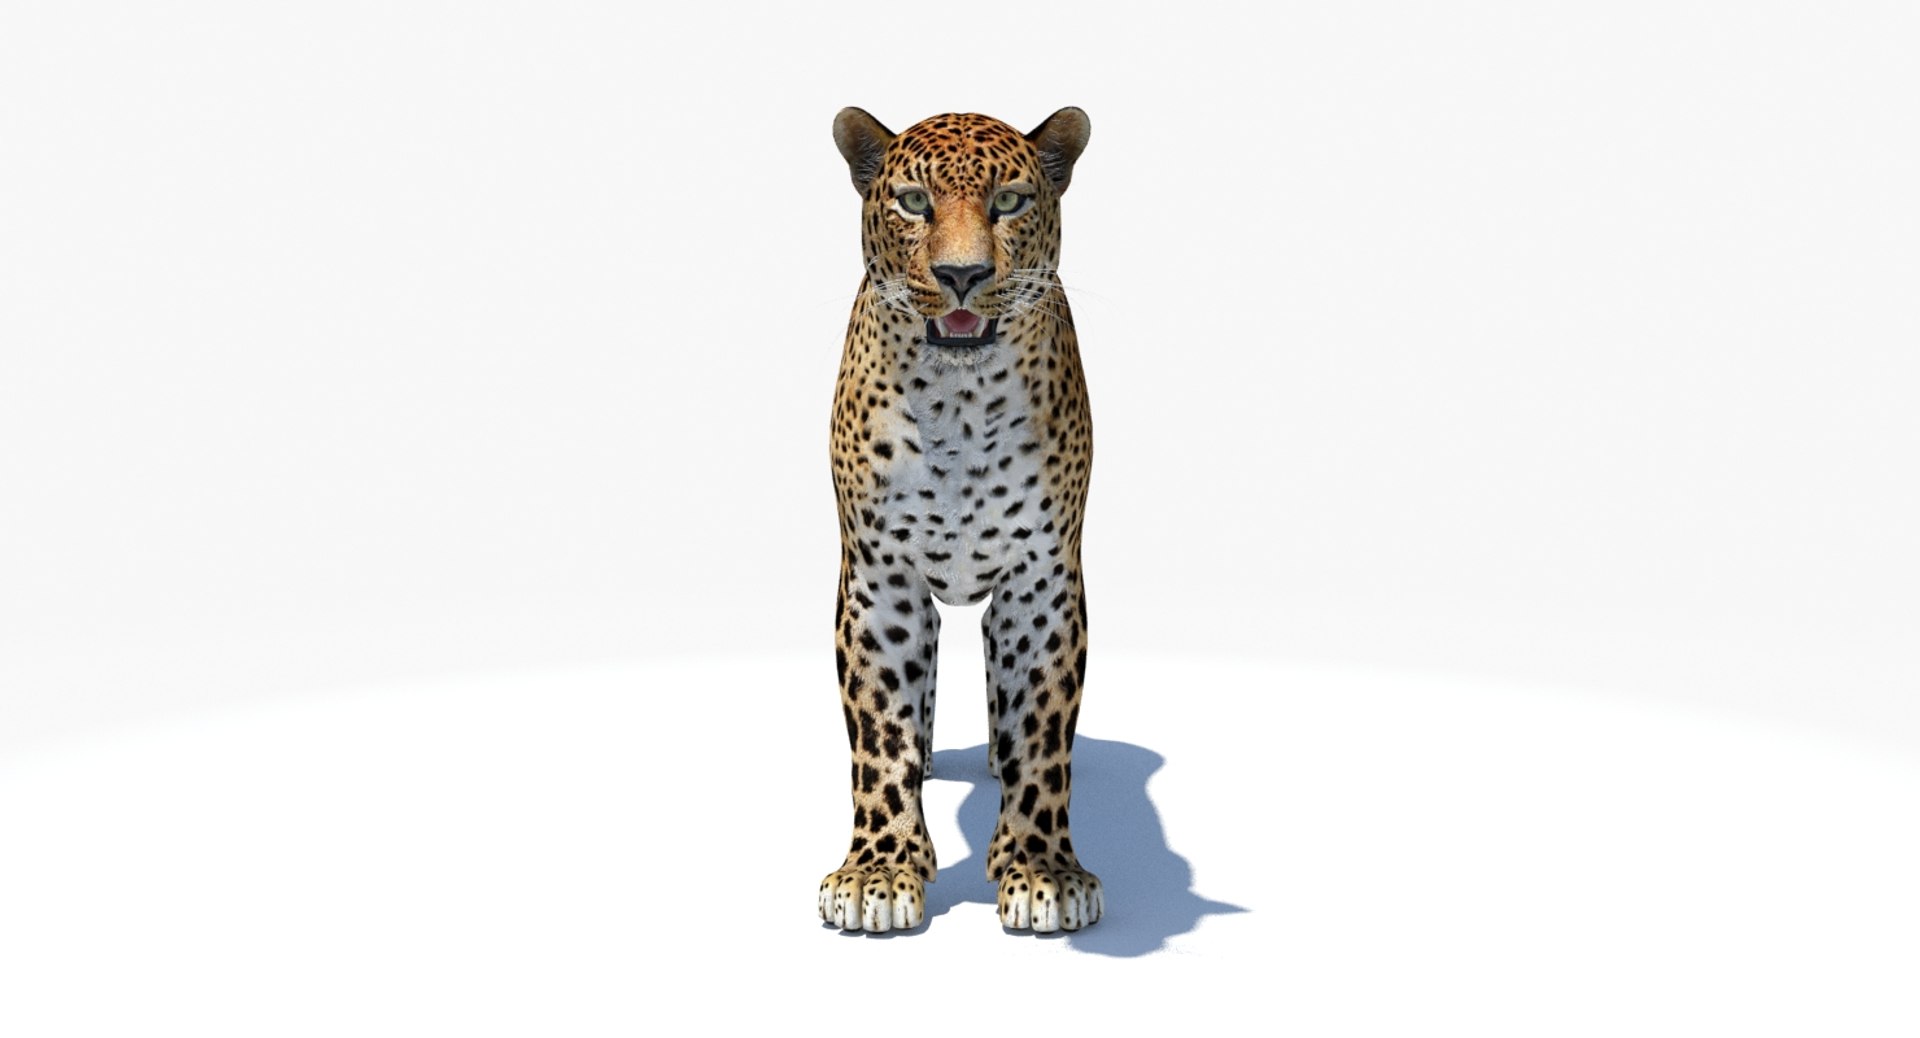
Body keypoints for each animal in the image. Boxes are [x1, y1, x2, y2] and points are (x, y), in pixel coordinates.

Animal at [817, 107, 1100, 934]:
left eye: (1009, 202)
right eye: (914, 202)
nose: (963, 276)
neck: (958, 406)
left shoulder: (1041, 582)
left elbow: (1042, 730)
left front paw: (1044, 871)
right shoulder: (880, 580)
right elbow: (881, 730)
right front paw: (877, 871)